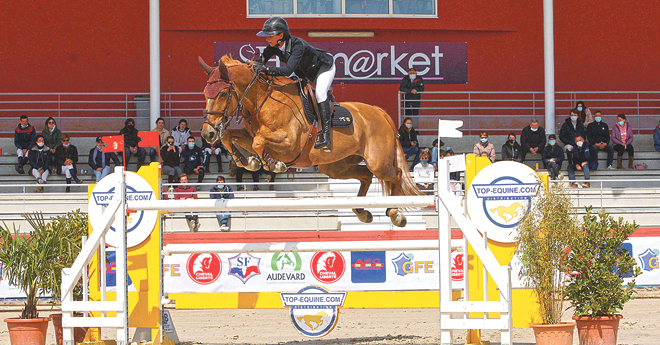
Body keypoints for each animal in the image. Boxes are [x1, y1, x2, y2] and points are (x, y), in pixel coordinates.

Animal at [199, 55, 420, 227]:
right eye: (204, 94)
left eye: (223, 93)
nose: (207, 134)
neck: (263, 100)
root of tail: (379, 112)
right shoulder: (250, 134)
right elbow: (231, 137)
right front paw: (248, 162)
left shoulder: (289, 144)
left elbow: (258, 142)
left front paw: (273, 164)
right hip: (335, 166)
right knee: (366, 175)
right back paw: (362, 212)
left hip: (378, 162)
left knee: (396, 174)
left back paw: (395, 214)